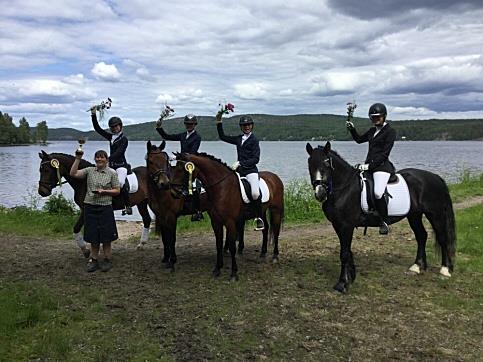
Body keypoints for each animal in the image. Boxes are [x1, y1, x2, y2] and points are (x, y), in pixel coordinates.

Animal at [145, 140, 211, 270]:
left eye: (165, 160)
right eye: (151, 161)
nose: (164, 183)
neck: (163, 193)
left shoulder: (171, 216)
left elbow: (172, 238)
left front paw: (172, 261)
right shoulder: (161, 216)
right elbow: (165, 238)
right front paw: (166, 258)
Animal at [171, 151, 286, 282]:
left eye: (182, 169)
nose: (174, 191)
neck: (222, 187)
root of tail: (275, 177)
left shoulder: (230, 221)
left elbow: (231, 246)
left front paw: (234, 274)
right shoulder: (216, 222)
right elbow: (218, 244)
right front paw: (217, 269)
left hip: (276, 210)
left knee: (276, 232)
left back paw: (275, 256)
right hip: (261, 211)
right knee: (265, 228)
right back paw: (263, 253)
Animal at [306, 141, 458, 294]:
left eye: (327, 163)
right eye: (310, 164)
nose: (320, 193)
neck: (344, 188)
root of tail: (435, 177)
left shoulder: (346, 226)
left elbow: (344, 253)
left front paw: (342, 284)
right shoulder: (338, 225)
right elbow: (347, 251)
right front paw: (351, 277)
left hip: (435, 214)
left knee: (442, 238)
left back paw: (445, 270)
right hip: (414, 215)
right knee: (421, 236)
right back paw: (417, 267)